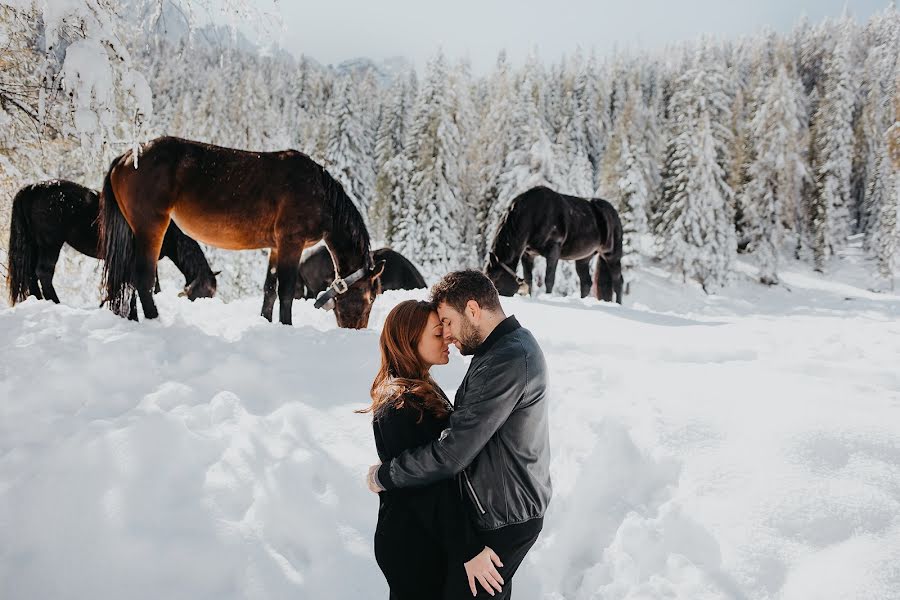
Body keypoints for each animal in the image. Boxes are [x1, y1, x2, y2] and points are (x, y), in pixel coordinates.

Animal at [6, 179, 218, 304]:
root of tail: (31, 189)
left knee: (30, 275)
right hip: (50, 244)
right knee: (43, 273)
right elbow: (153, 285)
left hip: (34, 245)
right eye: (203, 294)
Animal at [102, 137, 384, 328]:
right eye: (371, 298)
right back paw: (154, 320)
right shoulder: (291, 243)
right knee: (143, 278)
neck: (320, 194)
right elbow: (286, 291)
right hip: (151, 228)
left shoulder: (276, 247)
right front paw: (287, 326)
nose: (356, 330)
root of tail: (126, 157)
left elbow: (269, 290)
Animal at [486, 185, 624, 302]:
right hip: (584, 258)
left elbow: (549, 279)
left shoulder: (553, 250)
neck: (534, 214)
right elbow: (529, 279)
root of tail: (614, 213)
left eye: (495, 279)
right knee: (586, 283)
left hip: (612, 255)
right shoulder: (528, 254)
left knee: (618, 282)